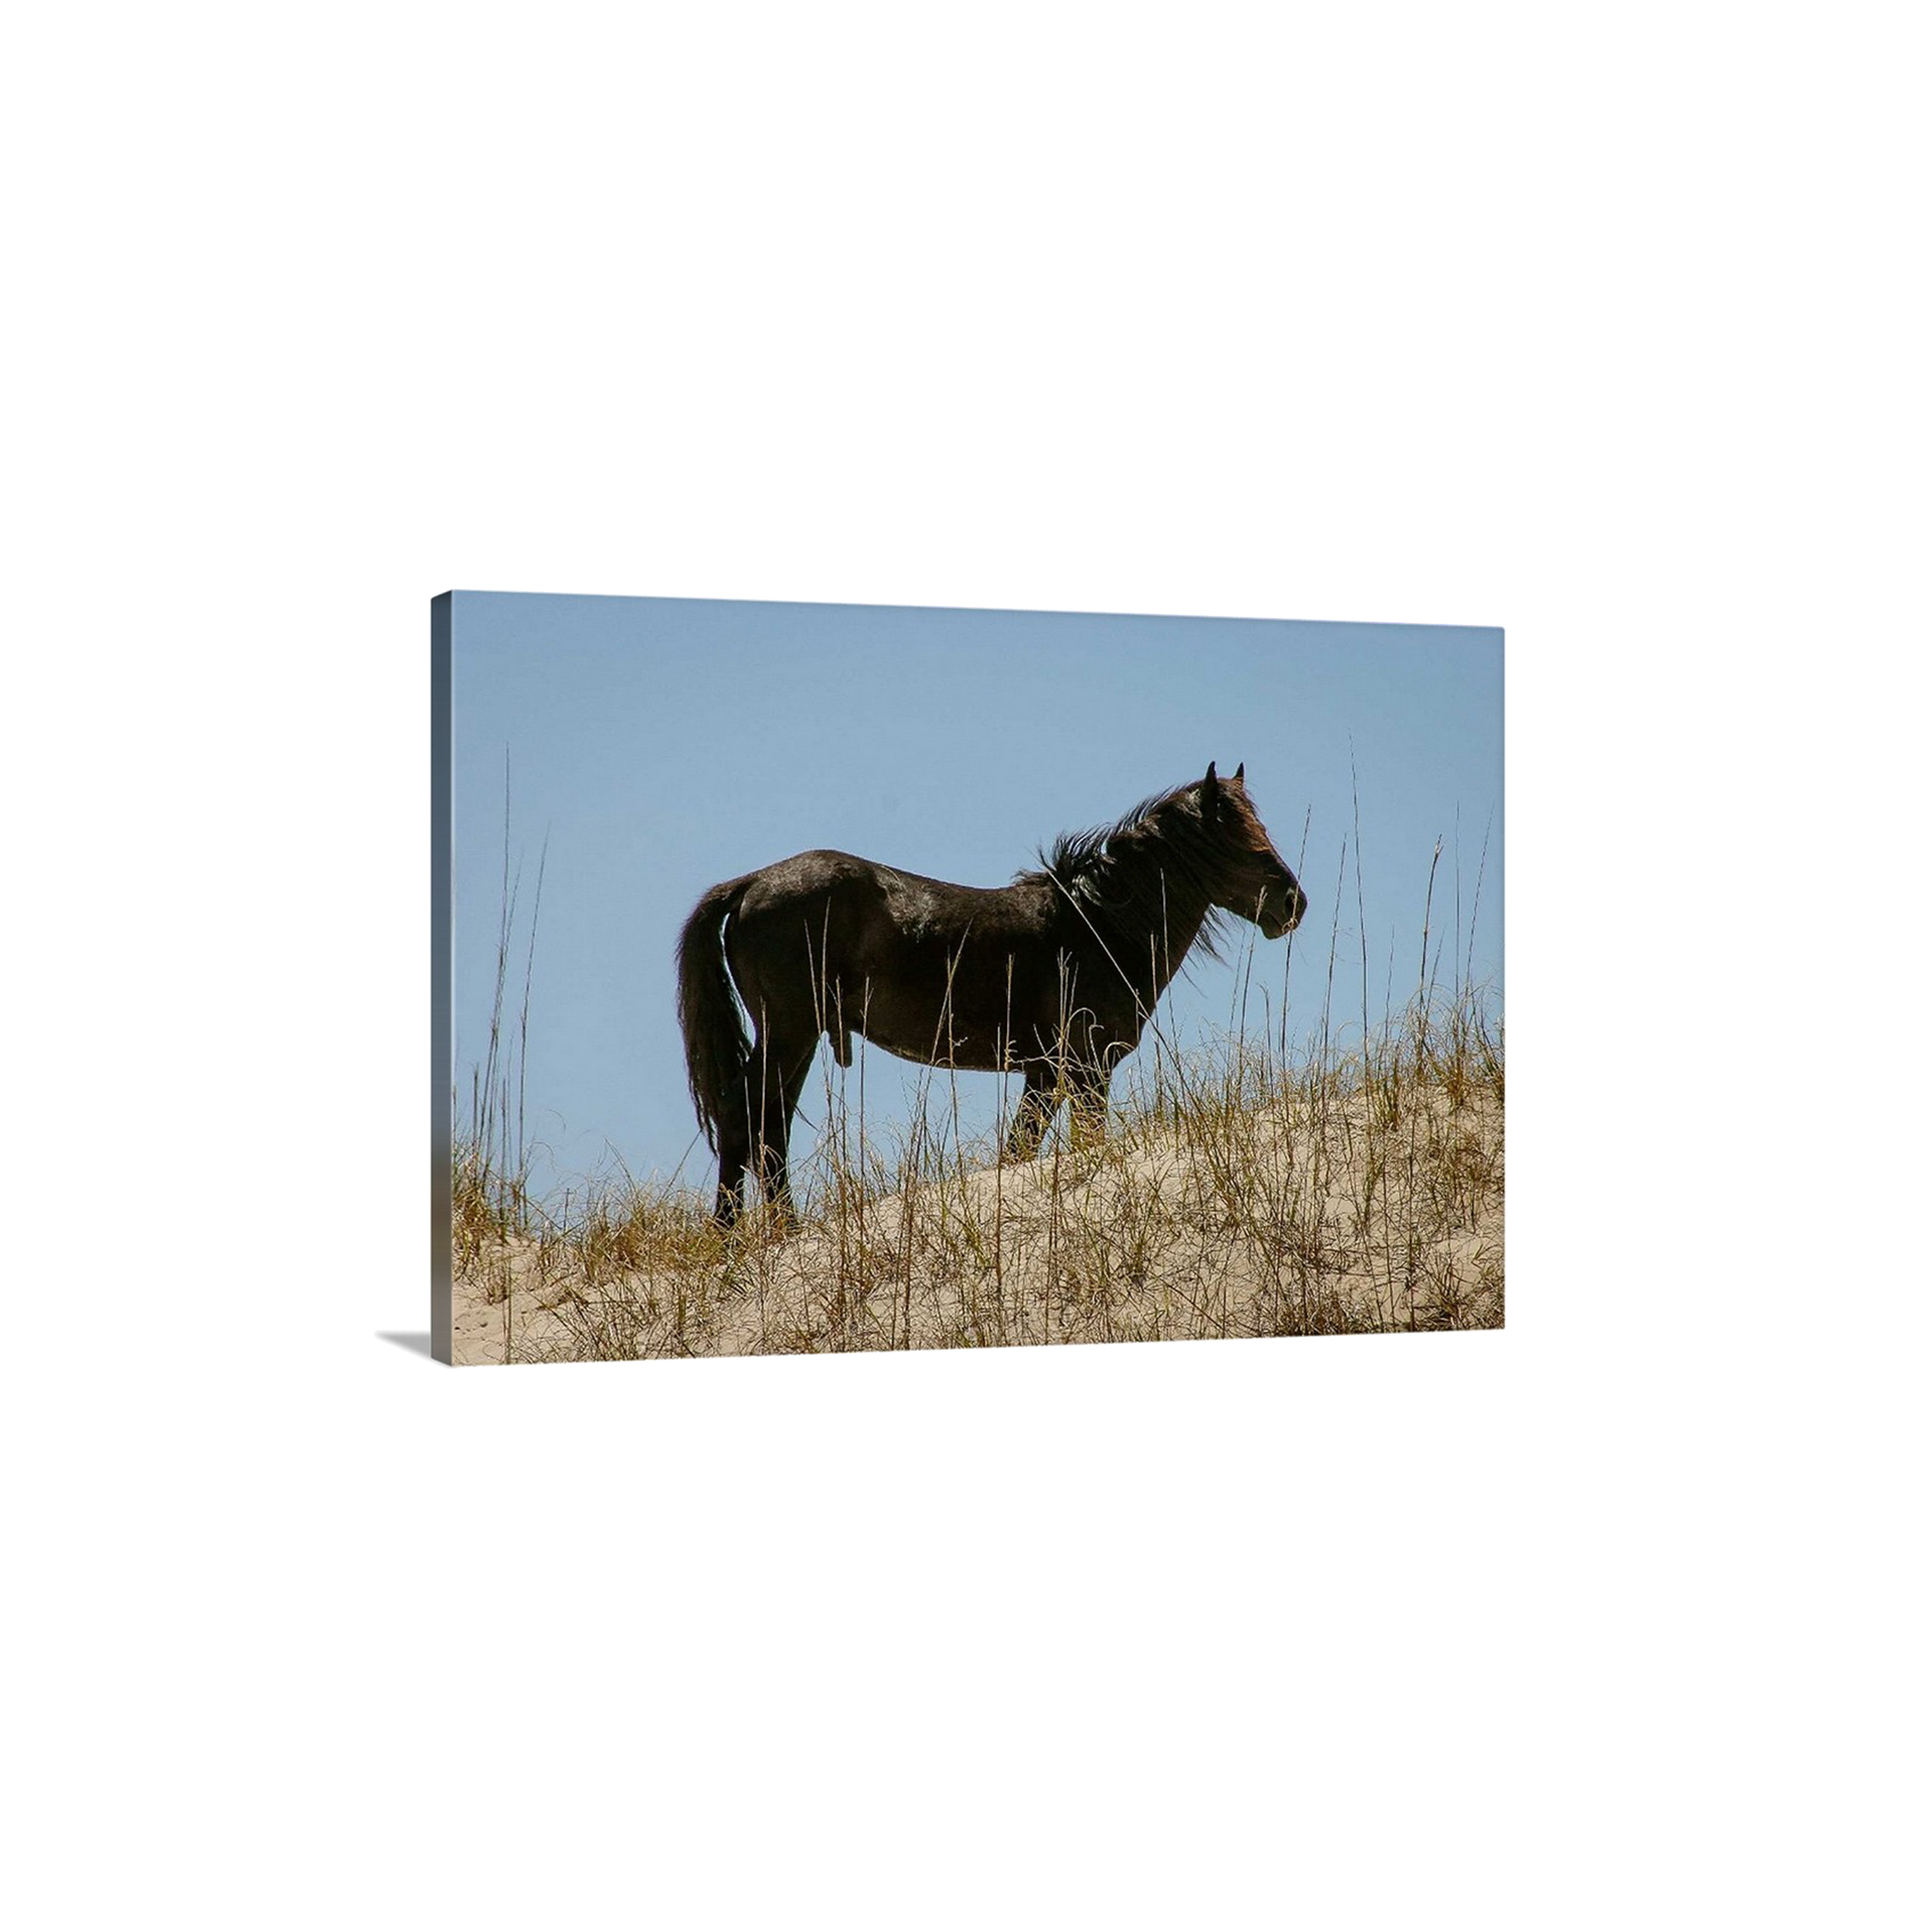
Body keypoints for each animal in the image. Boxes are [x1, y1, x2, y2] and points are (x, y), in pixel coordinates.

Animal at [675, 762, 1307, 1227]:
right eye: (1230, 839)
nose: (1292, 903)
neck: (1097, 924)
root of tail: (751, 884)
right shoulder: (1087, 1069)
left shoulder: (1045, 1074)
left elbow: (1020, 1151)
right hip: (790, 1032)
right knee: (750, 1124)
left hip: (796, 1039)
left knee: (765, 1129)